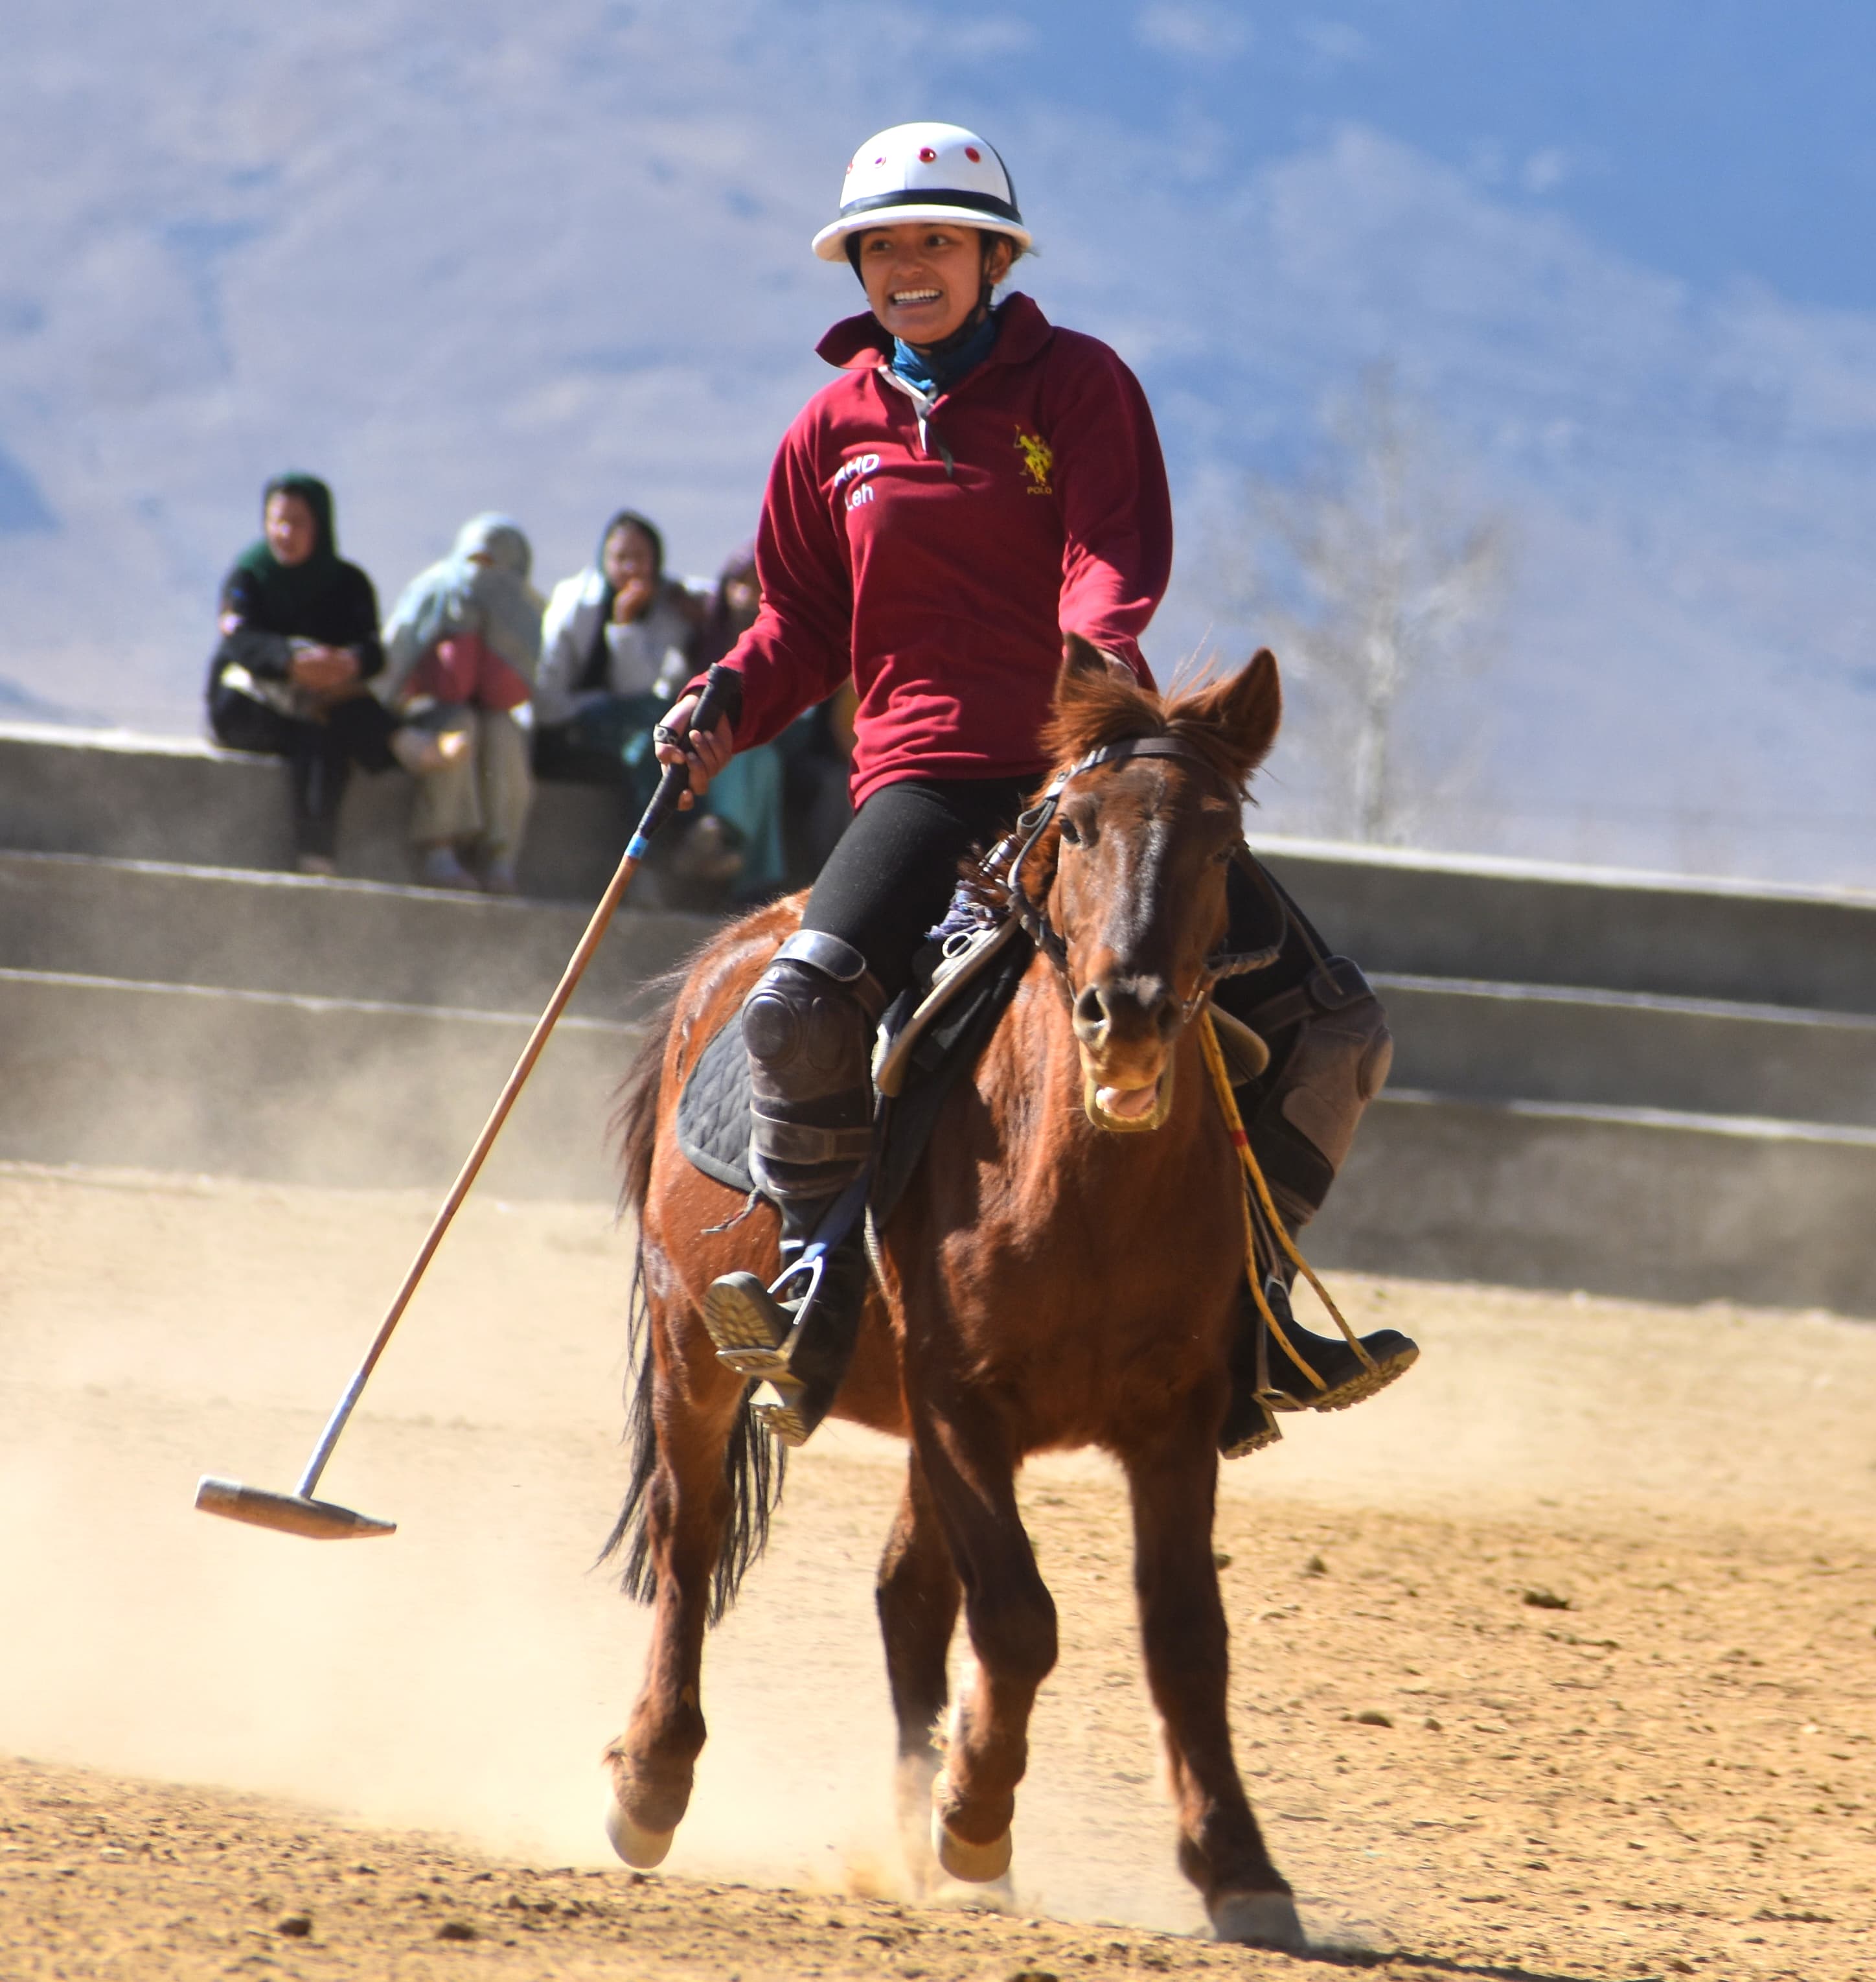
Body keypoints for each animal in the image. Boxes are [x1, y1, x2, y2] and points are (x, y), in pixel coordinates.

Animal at [602, 642, 1307, 1942]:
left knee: (909, 1594)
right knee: (692, 1540)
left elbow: (1186, 1633)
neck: (1078, 1183)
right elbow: (1021, 1617)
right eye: (1076, 826)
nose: (1130, 1012)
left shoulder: (1173, 1419)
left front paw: (1240, 1864)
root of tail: (727, 959)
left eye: (1224, 838)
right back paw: (651, 1781)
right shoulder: (964, 1400)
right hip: (694, 1345)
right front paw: (976, 1812)